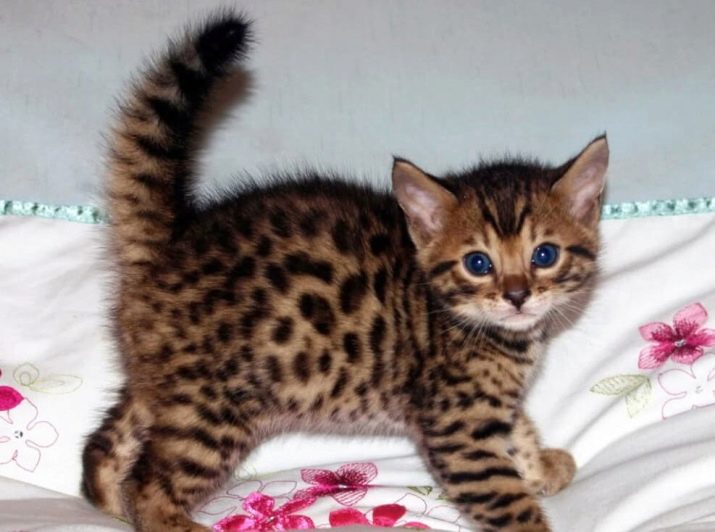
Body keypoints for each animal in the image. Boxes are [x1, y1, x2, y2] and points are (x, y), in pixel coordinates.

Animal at [81, 9, 607, 532]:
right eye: (478, 263)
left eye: (544, 255)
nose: (517, 295)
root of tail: (172, 240)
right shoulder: (456, 430)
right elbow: (508, 504)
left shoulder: (491, 408)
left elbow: (518, 429)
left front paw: (540, 463)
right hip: (211, 409)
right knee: (148, 486)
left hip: (164, 385)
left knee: (104, 445)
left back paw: (106, 506)